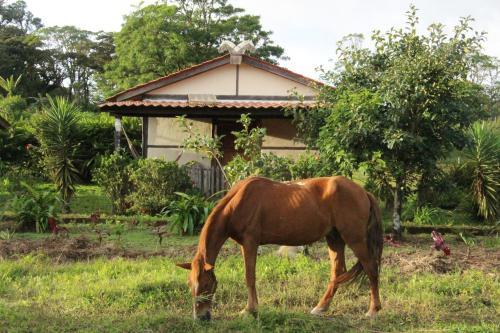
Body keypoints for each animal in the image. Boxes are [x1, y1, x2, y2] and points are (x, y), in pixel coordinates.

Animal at [178, 176, 384, 320]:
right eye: (189, 284)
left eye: (206, 284)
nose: (200, 317)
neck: (239, 202)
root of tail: (363, 192)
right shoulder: (245, 245)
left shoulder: (250, 242)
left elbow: (249, 277)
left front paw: (250, 310)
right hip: (334, 238)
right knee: (338, 272)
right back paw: (320, 308)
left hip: (354, 239)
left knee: (371, 269)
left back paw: (373, 310)